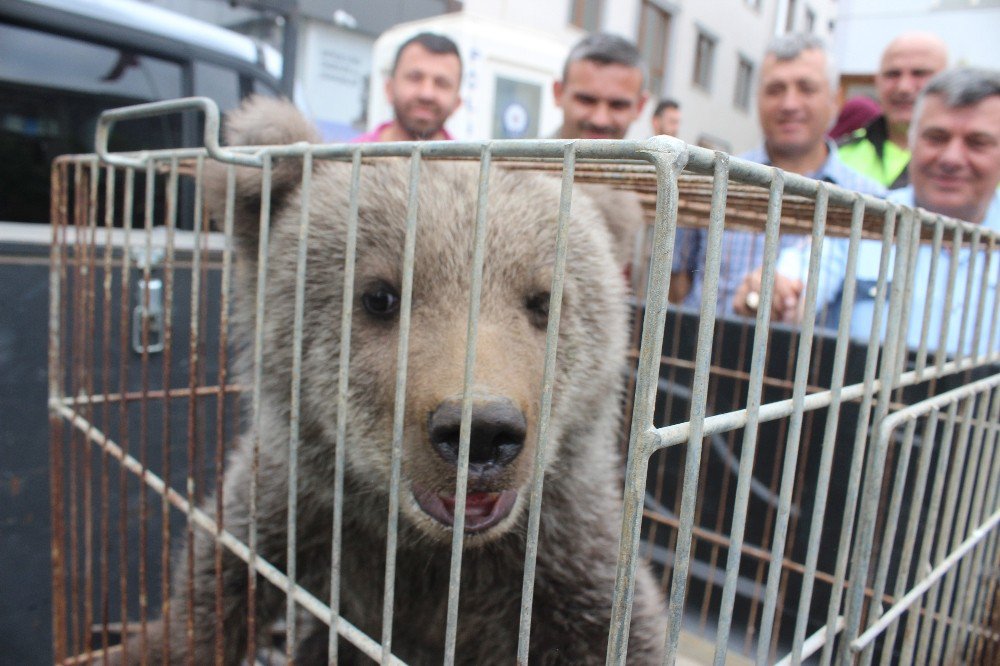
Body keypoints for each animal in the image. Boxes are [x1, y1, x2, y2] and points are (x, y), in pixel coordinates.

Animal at [129, 96, 668, 660]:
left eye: (544, 301)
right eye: (380, 296)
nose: (480, 430)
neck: (428, 558)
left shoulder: (567, 565)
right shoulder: (288, 511)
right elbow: (209, 597)